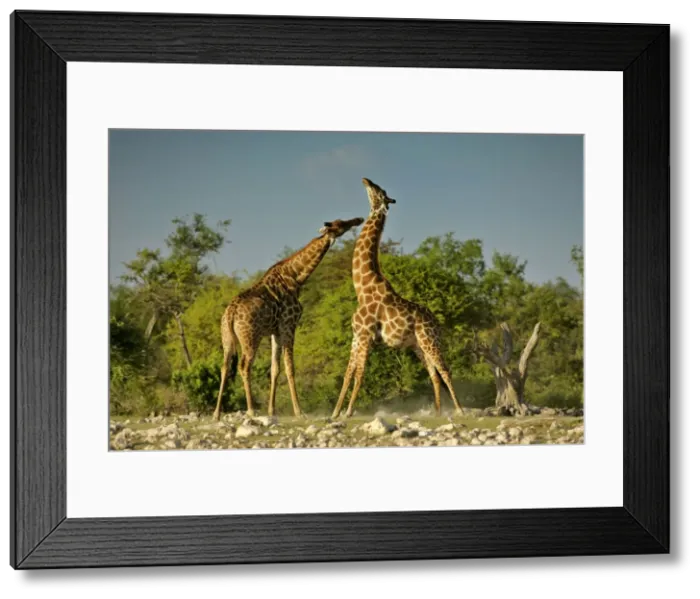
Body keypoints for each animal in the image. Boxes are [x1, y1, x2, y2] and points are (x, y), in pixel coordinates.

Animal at [213, 217, 365, 421]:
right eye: (340, 224)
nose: (358, 219)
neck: (297, 277)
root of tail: (231, 314)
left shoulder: (275, 331)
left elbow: (275, 369)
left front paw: (272, 411)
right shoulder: (289, 325)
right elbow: (289, 367)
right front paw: (299, 411)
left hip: (227, 339)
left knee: (224, 367)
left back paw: (216, 413)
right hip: (250, 337)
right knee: (244, 366)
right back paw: (251, 410)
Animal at [332, 178, 465, 419]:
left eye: (379, 190)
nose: (366, 180)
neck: (362, 288)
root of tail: (437, 324)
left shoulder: (365, 336)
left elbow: (359, 374)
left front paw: (348, 412)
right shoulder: (356, 335)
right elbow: (348, 374)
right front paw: (335, 413)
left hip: (430, 340)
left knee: (444, 370)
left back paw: (459, 409)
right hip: (418, 345)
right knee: (433, 373)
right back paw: (437, 412)